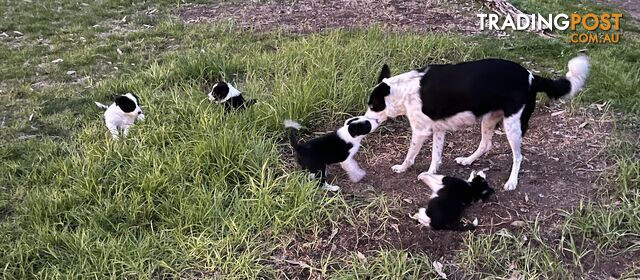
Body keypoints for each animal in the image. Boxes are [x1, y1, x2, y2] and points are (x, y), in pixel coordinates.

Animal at [364, 54, 592, 190]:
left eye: (373, 105)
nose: (364, 121)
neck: (404, 89)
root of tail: (532, 77)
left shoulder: (421, 132)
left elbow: (410, 155)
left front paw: (402, 168)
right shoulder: (438, 129)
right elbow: (436, 156)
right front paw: (430, 173)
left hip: (513, 126)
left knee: (518, 156)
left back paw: (512, 181)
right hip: (489, 119)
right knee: (486, 144)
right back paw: (468, 160)